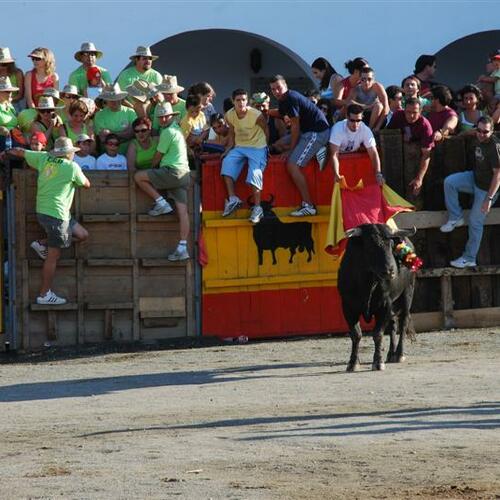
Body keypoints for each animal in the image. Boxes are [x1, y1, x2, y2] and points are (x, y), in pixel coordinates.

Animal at [338, 223, 416, 372]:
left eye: (391, 245)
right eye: (370, 246)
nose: (390, 270)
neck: (367, 282)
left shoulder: (384, 305)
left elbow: (378, 334)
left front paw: (378, 362)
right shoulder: (348, 307)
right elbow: (356, 334)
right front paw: (353, 363)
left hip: (407, 293)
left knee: (404, 321)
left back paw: (399, 354)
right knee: (393, 324)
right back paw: (391, 354)